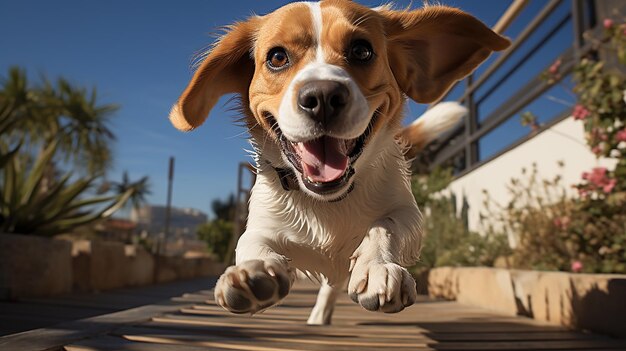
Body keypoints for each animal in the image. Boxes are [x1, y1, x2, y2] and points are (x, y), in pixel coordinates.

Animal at [169, 0, 508, 326]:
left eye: (361, 50)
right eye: (277, 57)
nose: (322, 96)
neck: (328, 202)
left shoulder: (408, 214)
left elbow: (384, 226)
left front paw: (377, 268)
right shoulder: (264, 224)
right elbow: (251, 242)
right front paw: (253, 271)